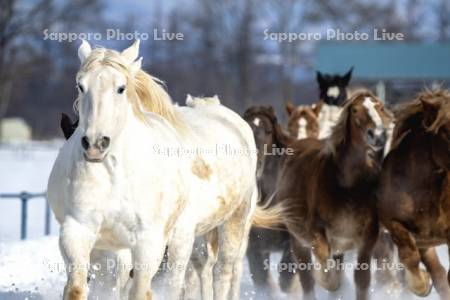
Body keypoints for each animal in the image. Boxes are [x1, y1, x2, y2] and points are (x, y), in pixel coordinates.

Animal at [47, 40, 276, 300]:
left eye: (121, 88)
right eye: (80, 85)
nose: (95, 144)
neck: (117, 175)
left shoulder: (152, 240)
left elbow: (148, 290)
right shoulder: (80, 231)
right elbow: (80, 288)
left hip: (230, 223)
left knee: (222, 272)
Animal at [272, 91, 392, 300]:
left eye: (380, 107)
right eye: (355, 110)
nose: (377, 135)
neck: (350, 190)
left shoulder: (368, 237)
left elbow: (361, 280)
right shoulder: (316, 233)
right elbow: (326, 272)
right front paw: (328, 281)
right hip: (298, 240)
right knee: (306, 279)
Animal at [380, 88, 450, 298]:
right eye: (445, 130)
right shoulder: (393, 223)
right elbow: (409, 256)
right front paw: (422, 284)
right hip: (426, 244)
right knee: (438, 273)